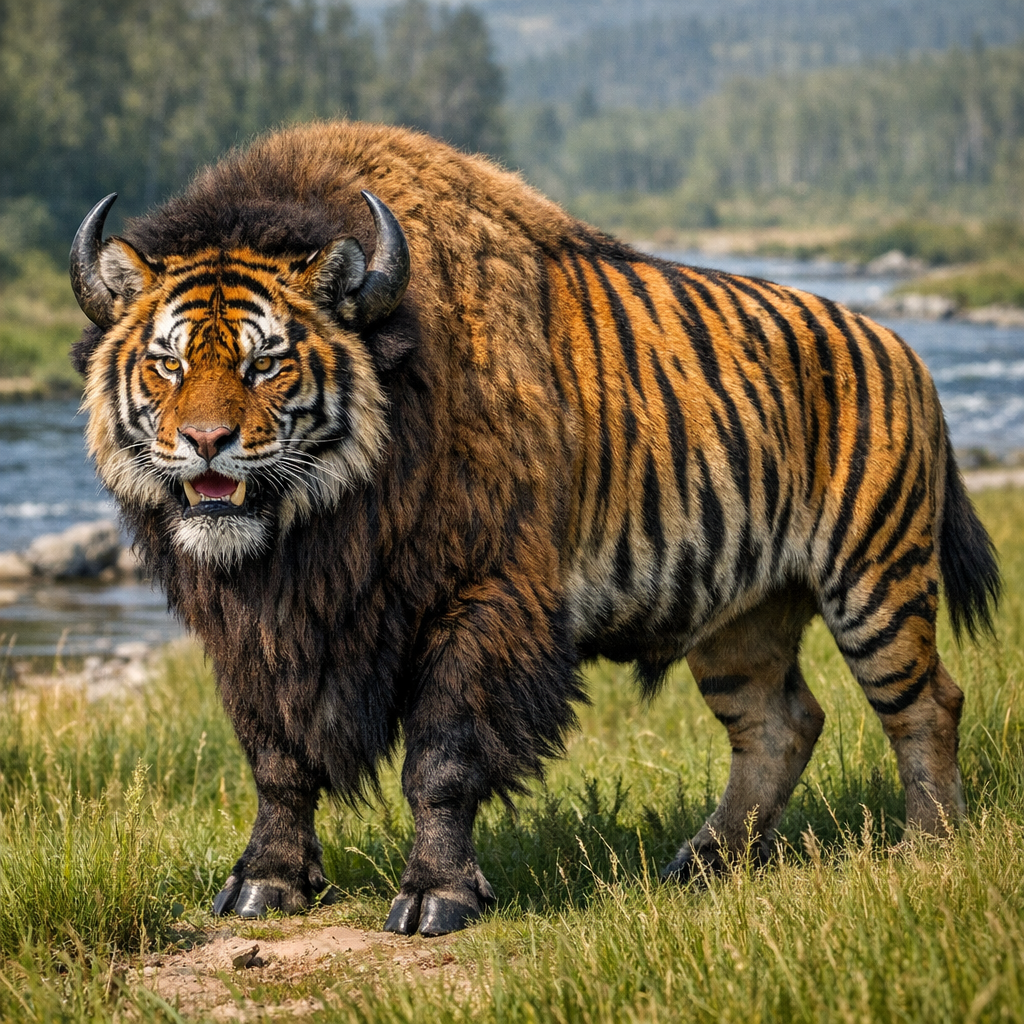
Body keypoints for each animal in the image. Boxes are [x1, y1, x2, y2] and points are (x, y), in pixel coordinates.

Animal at [68, 120, 999, 936]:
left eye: (267, 360)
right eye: (167, 361)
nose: (205, 443)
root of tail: (904, 350)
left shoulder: (479, 604)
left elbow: (441, 762)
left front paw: (435, 900)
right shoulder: (256, 639)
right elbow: (277, 762)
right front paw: (264, 887)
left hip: (874, 580)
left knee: (927, 704)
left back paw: (927, 846)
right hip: (741, 620)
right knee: (781, 724)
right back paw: (699, 862)